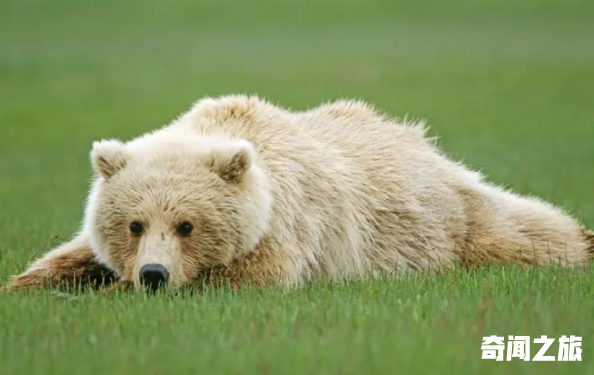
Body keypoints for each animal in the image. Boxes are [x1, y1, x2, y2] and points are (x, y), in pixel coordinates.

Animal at [4, 94, 592, 294]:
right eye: (133, 224)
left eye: (188, 225)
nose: (153, 274)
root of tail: (424, 144)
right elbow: (65, 257)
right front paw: (32, 287)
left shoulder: (288, 228)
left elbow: (255, 277)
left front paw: (111, 292)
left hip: (449, 220)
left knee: (522, 232)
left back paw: (579, 243)